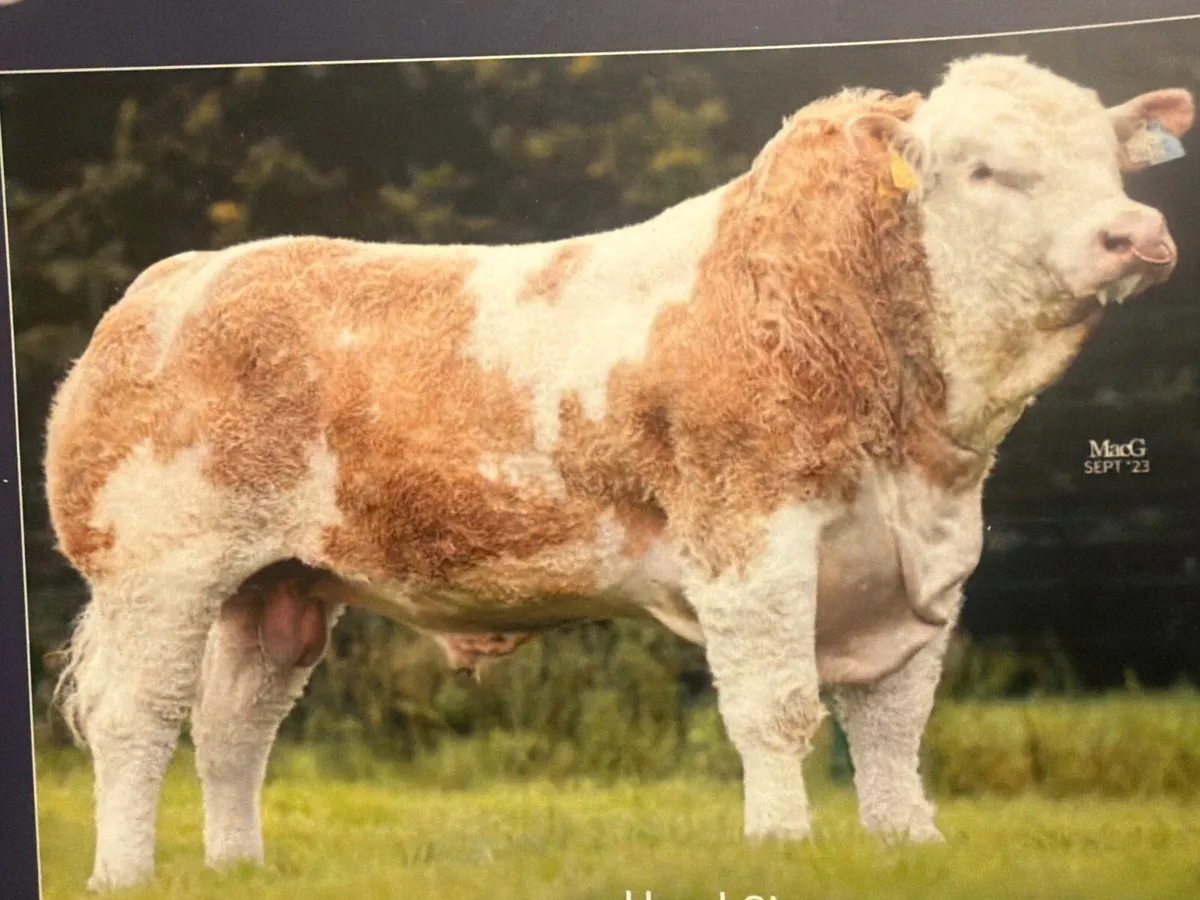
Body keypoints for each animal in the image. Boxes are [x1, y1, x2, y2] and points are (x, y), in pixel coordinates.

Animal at [43, 53, 1192, 891]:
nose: (1133, 233)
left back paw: (238, 867)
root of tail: (174, 279)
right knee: (136, 717)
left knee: (233, 725)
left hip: (274, 585)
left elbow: (896, 725)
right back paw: (123, 875)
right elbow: (777, 706)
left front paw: (911, 845)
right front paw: (782, 844)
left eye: (1115, 162)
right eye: (987, 169)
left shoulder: (927, 566)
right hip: (158, 568)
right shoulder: (751, 541)